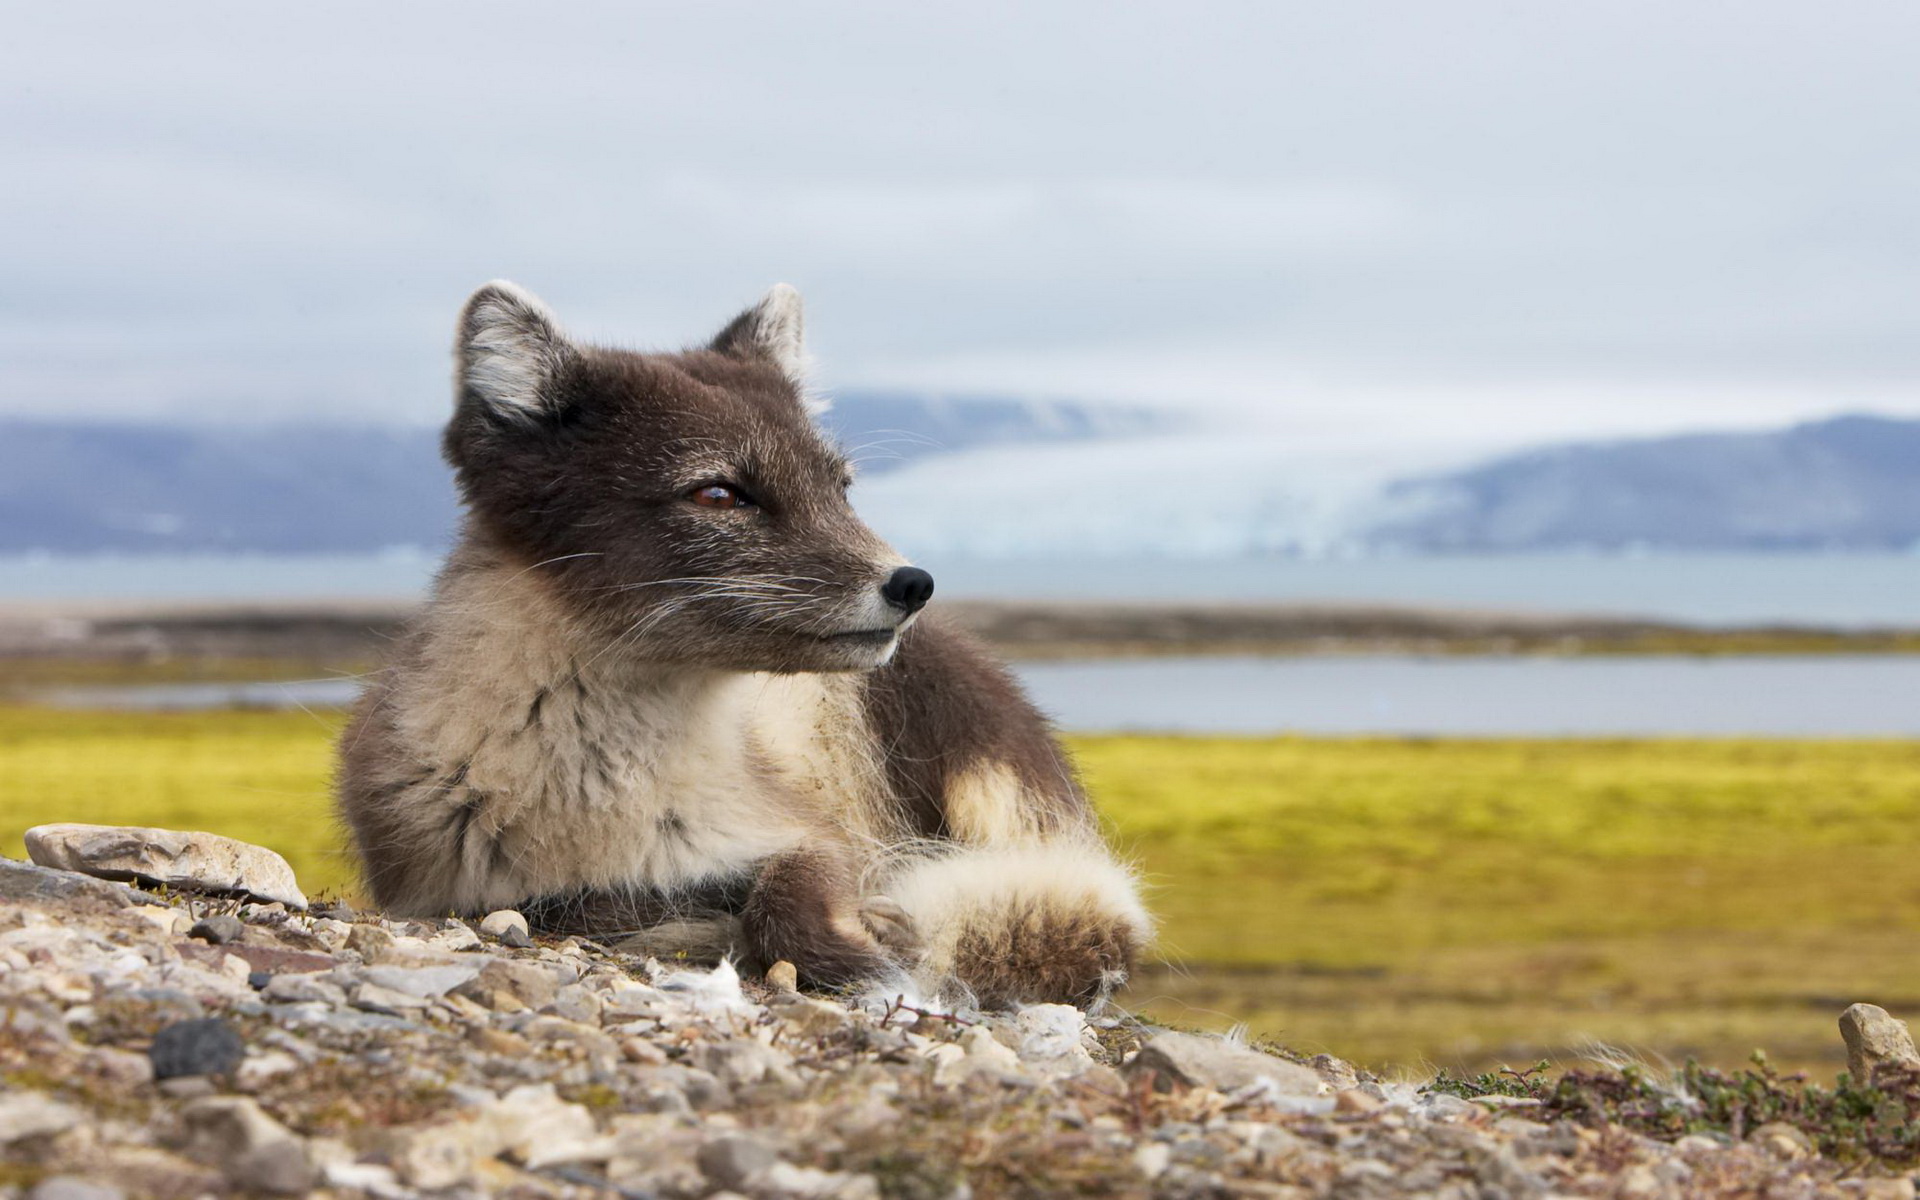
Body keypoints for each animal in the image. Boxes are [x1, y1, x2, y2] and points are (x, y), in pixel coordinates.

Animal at [336, 280, 1144, 998]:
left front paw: (863, 946)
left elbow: (790, 896)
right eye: (719, 493)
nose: (913, 585)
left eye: (840, 488)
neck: (601, 797)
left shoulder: (810, 832)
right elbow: (574, 904)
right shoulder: (449, 885)